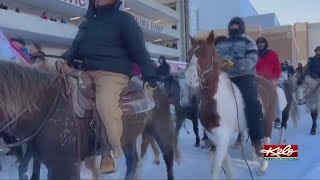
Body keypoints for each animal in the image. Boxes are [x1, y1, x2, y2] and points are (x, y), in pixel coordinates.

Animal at [0, 60, 180, 180]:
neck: (46, 107)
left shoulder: (63, 166)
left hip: (160, 128)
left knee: (168, 156)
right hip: (128, 139)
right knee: (133, 162)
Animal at [184, 31, 282, 179]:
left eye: (205, 54)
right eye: (189, 54)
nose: (190, 78)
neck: (216, 98)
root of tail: (269, 84)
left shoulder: (223, 134)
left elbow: (216, 167)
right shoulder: (213, 134)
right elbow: (225, 159)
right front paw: (231, 174)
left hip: (267, 119)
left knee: (266, 139)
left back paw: (262, 166)